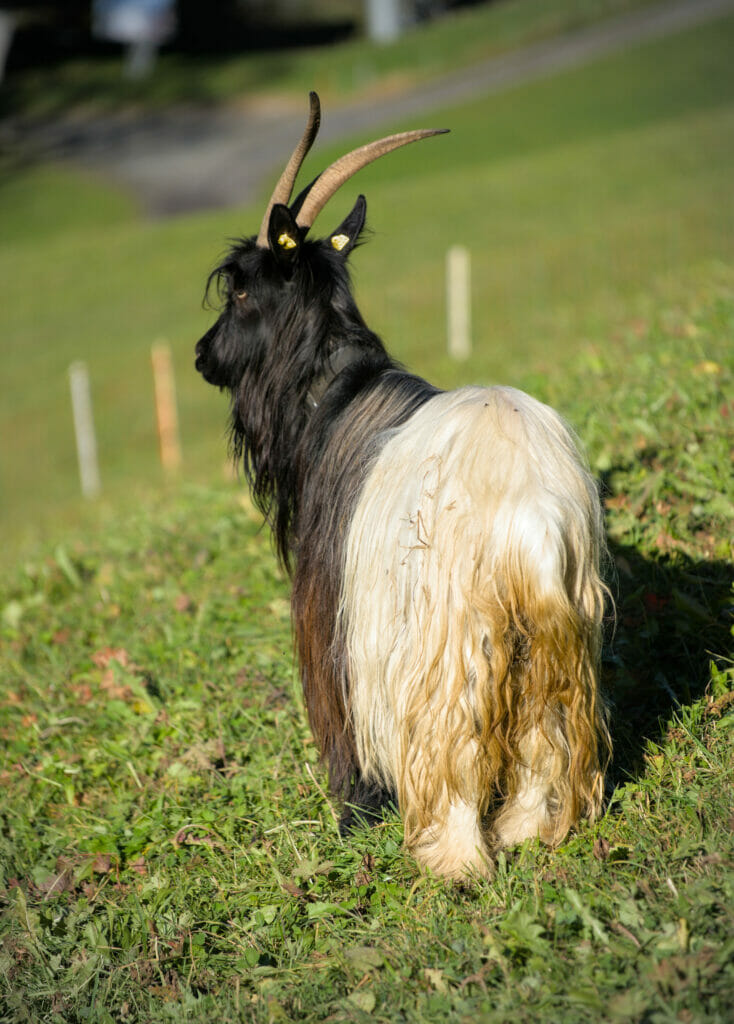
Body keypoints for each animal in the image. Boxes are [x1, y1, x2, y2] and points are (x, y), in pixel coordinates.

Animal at [193, 94, 606, 880]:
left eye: (241, 285)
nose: (203, 356)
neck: (333, 393)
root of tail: (529, 521)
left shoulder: (331, 613)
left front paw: (352, 814)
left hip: (450, 649)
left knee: (454, 756)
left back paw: (455, 861)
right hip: (554, 642)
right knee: (545, 743)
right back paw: (526, 833)